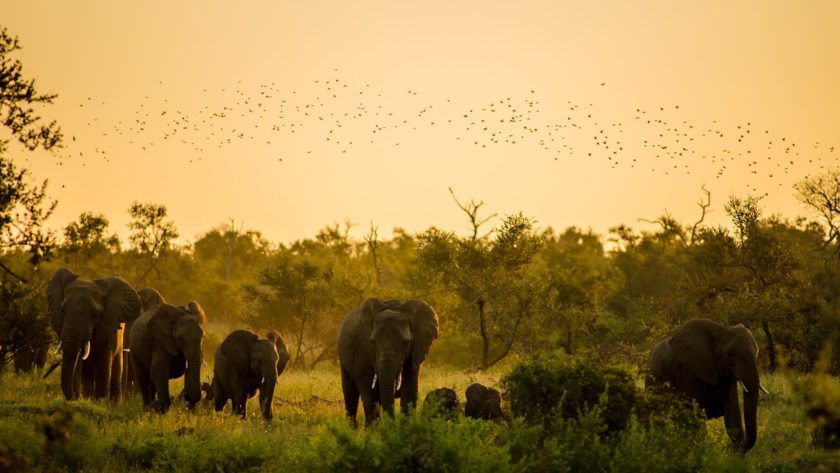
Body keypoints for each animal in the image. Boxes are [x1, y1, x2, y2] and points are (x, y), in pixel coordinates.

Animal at [46, 268, 140, 400]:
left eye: (95, 314)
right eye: (63, 311)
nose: (75, 396)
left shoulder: (108, 326)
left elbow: (104, 364)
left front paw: (101, 401)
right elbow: (78, 364)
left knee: (115, 375)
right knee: (87, 376)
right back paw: (89, 398)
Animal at [336, 296, 440, 426]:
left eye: (406, 343)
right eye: (373, 342)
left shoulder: (415, 352)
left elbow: (409, 391)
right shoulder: (362, 351)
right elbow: (369, 393)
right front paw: (376, 430)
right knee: (350, 394)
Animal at [644, 318, 768, 450]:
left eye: (757, 352)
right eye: (730, 354)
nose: (731, 448)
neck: (722, 330)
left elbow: (732, 417)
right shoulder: (689, 369)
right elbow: (695, 419)